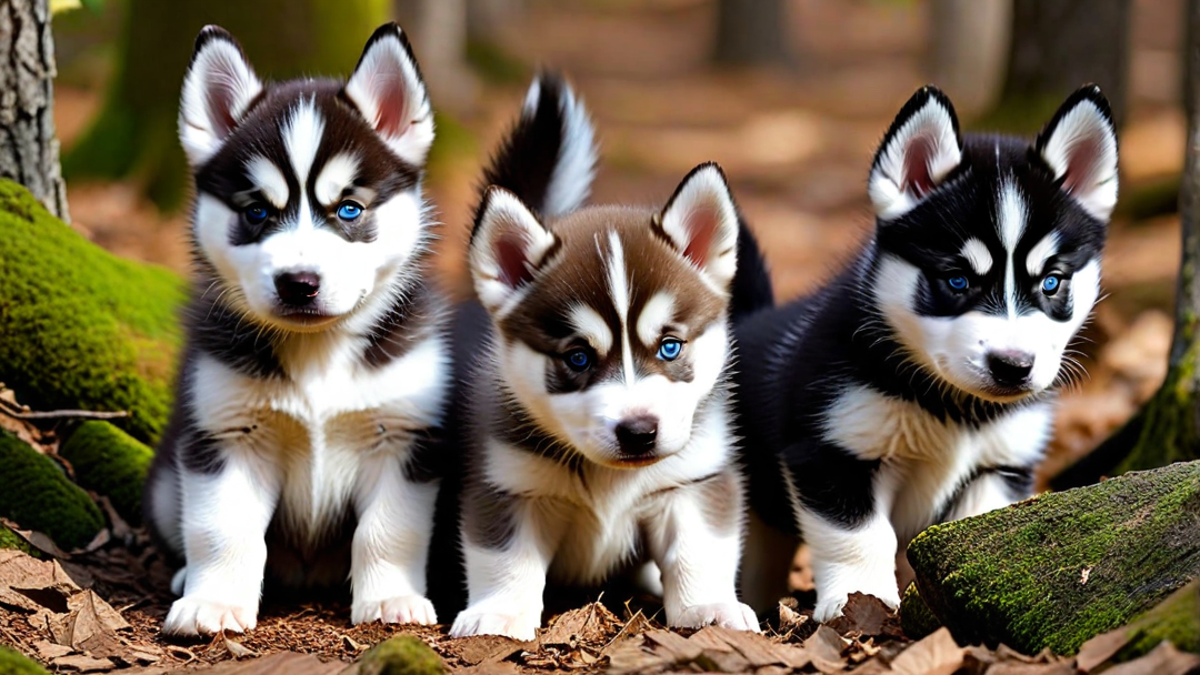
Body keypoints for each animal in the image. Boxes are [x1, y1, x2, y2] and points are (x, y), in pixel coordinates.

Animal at [144, 23, 451, 634]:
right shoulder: (226, 435)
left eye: (350, 210)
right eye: (257, 212)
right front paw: (215, 602)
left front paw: (391, 600)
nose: (299, 283)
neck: (318, 355)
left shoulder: (402, 438)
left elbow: (387, 531)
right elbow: (221, 529)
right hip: (169, 480)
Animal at [451, 73, 758, 634]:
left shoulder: (695, 479)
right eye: (578, 358)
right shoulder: (507, 484)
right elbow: (506, 558)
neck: (610, 479)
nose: (638, 432)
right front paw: (499, 614)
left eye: (670, 346)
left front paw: (709, 606)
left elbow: (699, 550)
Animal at [729, 85, 1113, 619]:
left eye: (1052, 282)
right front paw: (860, 602)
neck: (955, 410)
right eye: (957, 280)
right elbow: (861, 537)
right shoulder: (831, 451)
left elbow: (973, 529)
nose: (1013, 367)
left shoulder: (1002, 464)